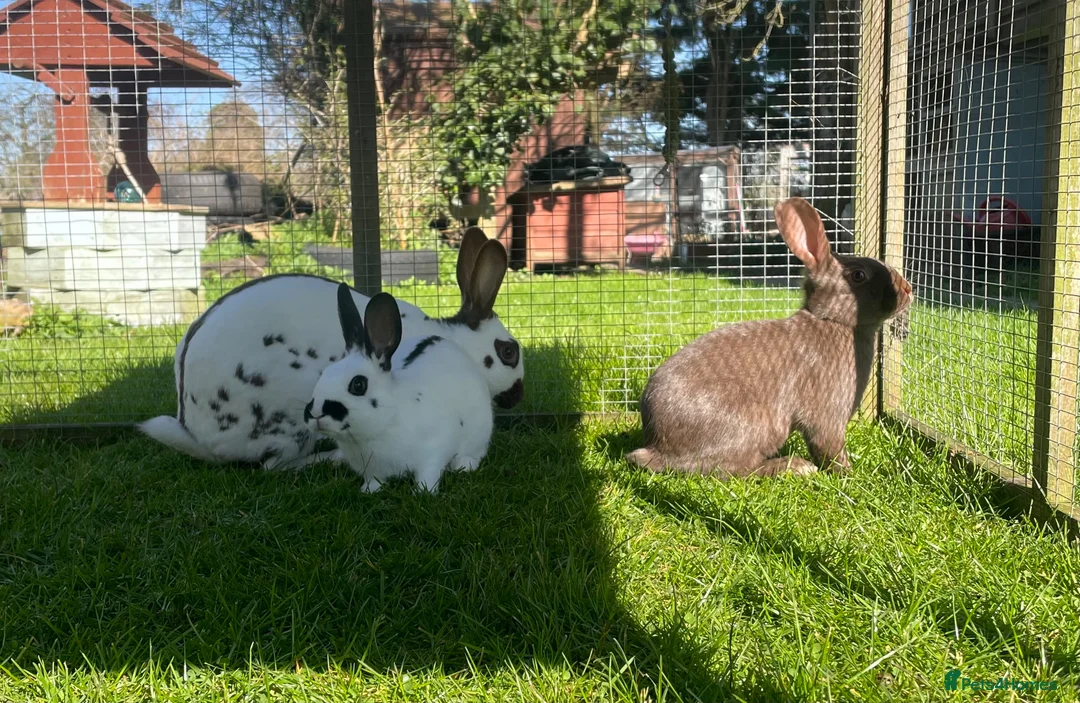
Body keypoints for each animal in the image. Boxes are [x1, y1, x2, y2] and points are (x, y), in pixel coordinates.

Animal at [138, 228, 521, 469]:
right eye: (509, 352)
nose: (518, 396)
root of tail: (199, 435)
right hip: (292, 419)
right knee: (276, 466)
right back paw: (328, 459)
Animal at [298, 285, 494, 492]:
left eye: (358, 384)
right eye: (324, 374)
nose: (315, 413)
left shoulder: (436, 449)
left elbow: (429, 473)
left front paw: (423, 492)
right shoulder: (372, 469)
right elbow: (374, 479)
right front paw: (369, 491)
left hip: (480, 433)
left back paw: (463, 465)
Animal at [625, 197, 913, 479]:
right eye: (858, 275)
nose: (908, 289)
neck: (832, 321)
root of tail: (656, 448)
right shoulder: (827, 415)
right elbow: (828, 446)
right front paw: (847, 474)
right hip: (754, 427)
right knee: (734, 469)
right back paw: (794, 467)